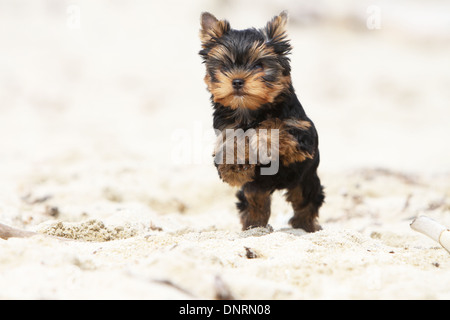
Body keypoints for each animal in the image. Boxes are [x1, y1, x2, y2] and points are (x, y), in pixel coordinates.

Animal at [200, 11, 324, 231]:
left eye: (259, 65)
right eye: (224, 66)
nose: (237, 81)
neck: (250, 112)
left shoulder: (301, 133)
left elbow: (276, 127)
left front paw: (263, 141)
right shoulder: (227, 129)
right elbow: (231, 143)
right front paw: (235, 165)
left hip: (305, 180)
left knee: (306, 201)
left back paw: (306, 226)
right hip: (255, 188)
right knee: (254, 199)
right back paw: (254, 226)